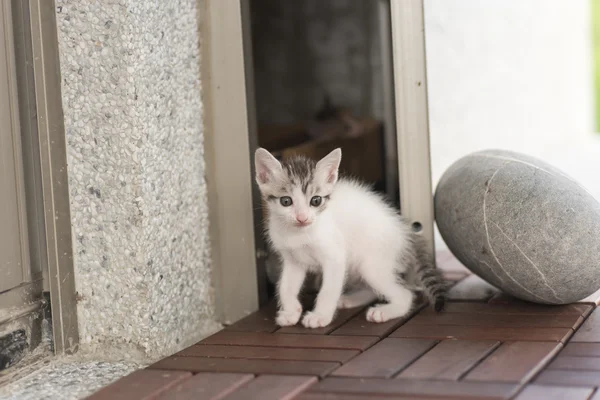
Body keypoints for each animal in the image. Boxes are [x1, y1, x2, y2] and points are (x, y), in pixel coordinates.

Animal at [253, 147, 446, 328]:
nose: (302, 217)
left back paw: (384, 312)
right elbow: (285, 287)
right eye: (286, 201)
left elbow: (328, 290)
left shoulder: (335, 257)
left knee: (405, 294)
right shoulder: (293, 260)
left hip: (371, 264)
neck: (299, 234)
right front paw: (291, 312)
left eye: (316, 201)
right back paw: (350, 300)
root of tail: (405, 231)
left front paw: (320, 316)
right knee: (371, 290)